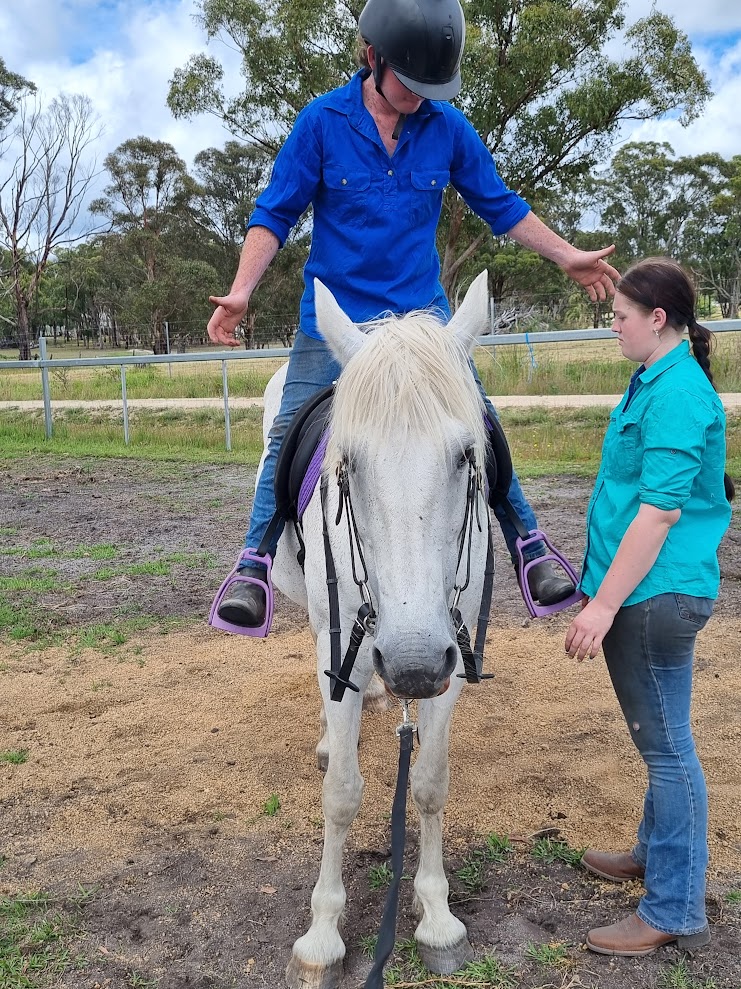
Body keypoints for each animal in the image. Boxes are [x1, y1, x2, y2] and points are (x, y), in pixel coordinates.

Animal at [264, 272, 492, 988]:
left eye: (464, 455)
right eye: (348, 463)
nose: (411, 665)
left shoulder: (451, 654)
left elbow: (430, 782)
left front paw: (437, 916)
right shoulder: (345, 644)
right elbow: (341, 793)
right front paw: (321, 935)